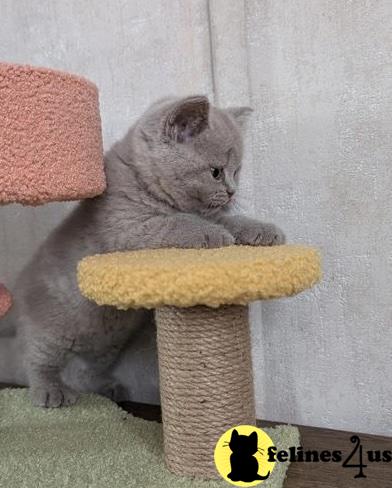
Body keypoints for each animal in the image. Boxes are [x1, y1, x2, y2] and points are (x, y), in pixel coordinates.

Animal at [3, 93, 284, 406]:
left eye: (237, 171)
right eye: (216, 172)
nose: (232, 191)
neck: (146, 185)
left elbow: (225, 219)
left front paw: (262, 229)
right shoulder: (129, 228)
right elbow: (177, 223)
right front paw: (215, 235)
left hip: (107, 341)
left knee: (88, 368)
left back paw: (107, 388)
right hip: (53, 329)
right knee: (37, 358)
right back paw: (52, 391)